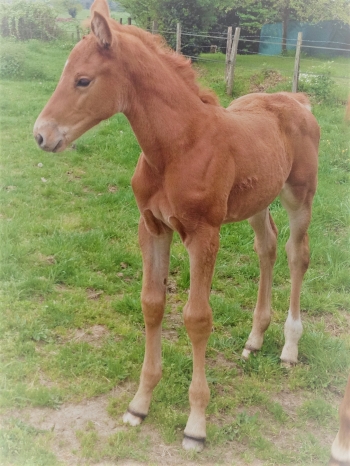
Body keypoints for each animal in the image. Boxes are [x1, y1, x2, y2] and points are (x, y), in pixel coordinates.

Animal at [33, 0, 320, 452]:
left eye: (83, 80)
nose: (41, 135)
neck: (178, 146)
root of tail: (297, 98)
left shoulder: (204, 234)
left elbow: (196, 318)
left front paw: (196, 425)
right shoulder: (152, 227)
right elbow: (152, 305)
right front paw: (138, 405)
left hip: (299, 194)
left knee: (297, 254)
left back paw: (289, 348)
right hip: (257, 200)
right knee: (268, 247)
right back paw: (254, 340)